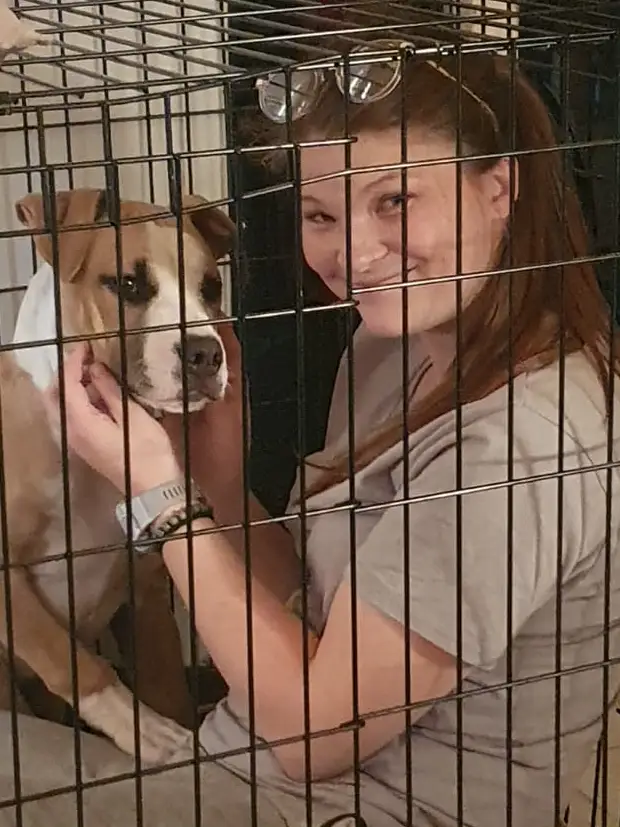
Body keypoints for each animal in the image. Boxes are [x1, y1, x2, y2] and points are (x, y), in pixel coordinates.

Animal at [0, 188, 235, 764]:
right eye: (127, 285)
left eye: (211, 288)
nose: (206, 353)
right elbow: (62, 654)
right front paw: (141, 727)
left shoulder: (145, 591)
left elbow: (167, 682)